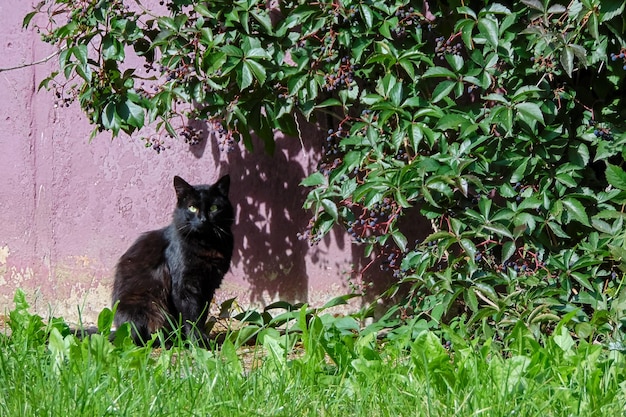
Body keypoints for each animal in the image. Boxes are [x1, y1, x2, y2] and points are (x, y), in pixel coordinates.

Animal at [111, 174, 233, 346]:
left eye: (214, 208)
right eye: (192, 208)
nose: (203, 220)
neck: (206, 244)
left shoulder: (209, 285)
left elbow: (201, 315)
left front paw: (198, 340)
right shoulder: (185, 285)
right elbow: (191, 316)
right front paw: (197, 342)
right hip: (144, 306)